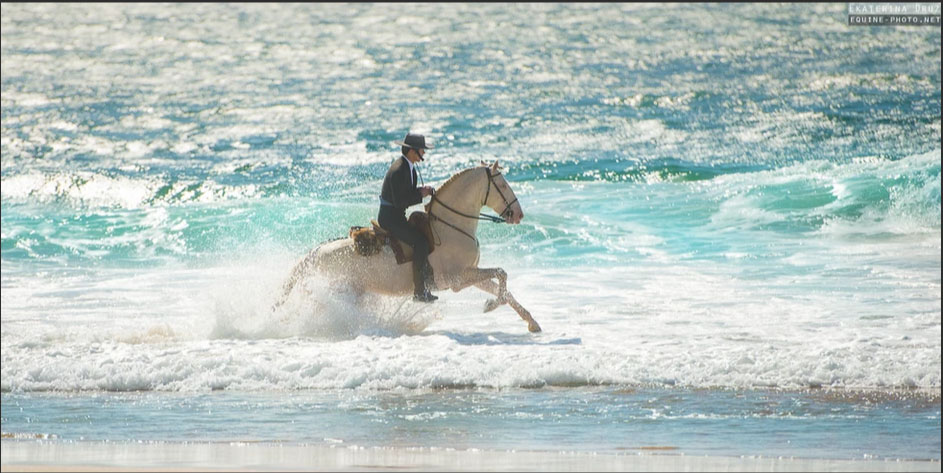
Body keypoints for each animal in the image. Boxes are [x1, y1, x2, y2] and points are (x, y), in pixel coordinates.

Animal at [276, 159, 544, 332]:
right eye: (504, 185)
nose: (518, 214)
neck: (451, 228)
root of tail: (312, 254)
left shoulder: (471, 274)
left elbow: (505, 289)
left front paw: (531, 322)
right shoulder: (459, 279)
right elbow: (502, 274)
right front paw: (490, 306)